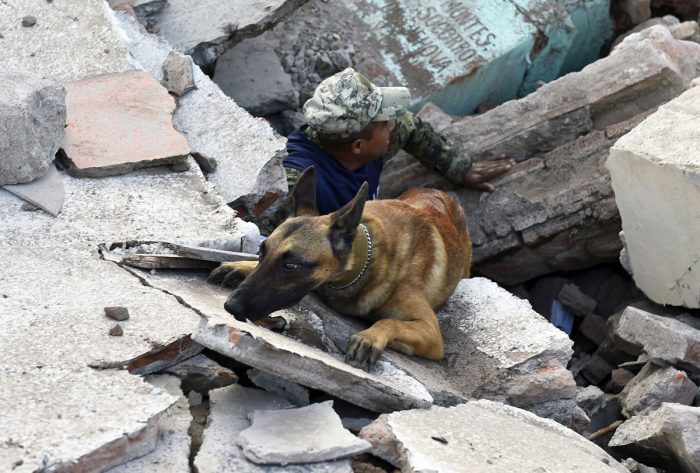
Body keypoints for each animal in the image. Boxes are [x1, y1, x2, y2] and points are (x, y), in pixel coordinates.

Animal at [208, 167, 470, 368]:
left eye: (291, 265)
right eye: (262, 252)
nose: (230, 306)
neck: (366, 260)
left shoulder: (432, 333)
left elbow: (389, 321)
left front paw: (369, 337)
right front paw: (242, 265)